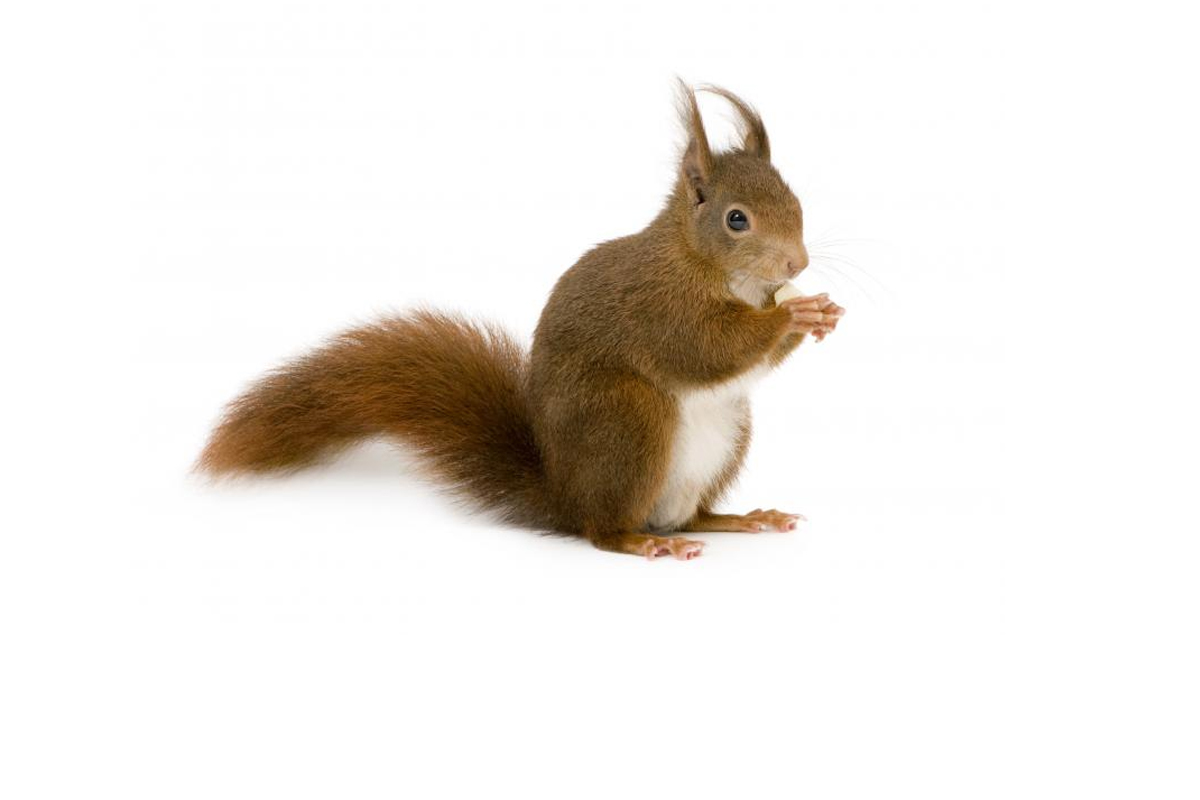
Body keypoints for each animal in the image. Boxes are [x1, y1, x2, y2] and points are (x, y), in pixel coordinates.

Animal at [198, 82, 845, 560]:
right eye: (737, 219)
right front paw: (793, 312)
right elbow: (706, 348)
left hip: (726, 435)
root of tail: (564, 495)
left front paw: (821, 313)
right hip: (628, 418)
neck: (705, 264)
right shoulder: (659, 307)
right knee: (603, 530)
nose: (798, 264)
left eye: (794, 200)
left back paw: (740, 518)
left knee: (692, 516)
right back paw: (640, 541)